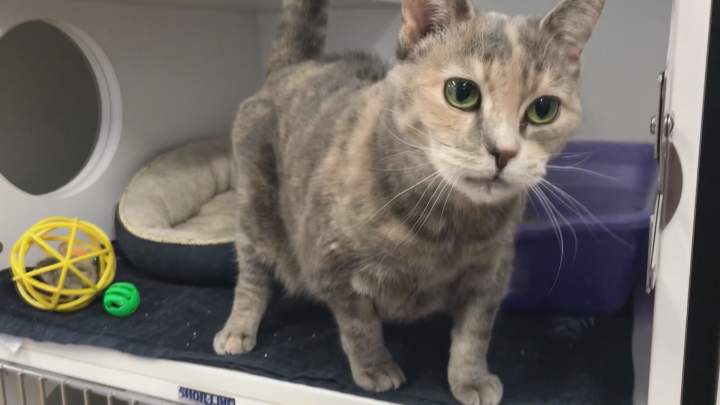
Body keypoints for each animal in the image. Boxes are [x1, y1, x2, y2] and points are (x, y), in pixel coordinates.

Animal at [214, 1, 604, 404]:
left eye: (544, 109)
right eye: (462, 92)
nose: (504, 151)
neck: (446, 229)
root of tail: (293, 66)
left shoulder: (490, 275)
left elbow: (474, 335)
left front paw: (471, 379)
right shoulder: (333, 267)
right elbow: (360, 328)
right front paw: (375, 368)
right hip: (256, 212)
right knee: (251, 275)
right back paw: (238, 328)